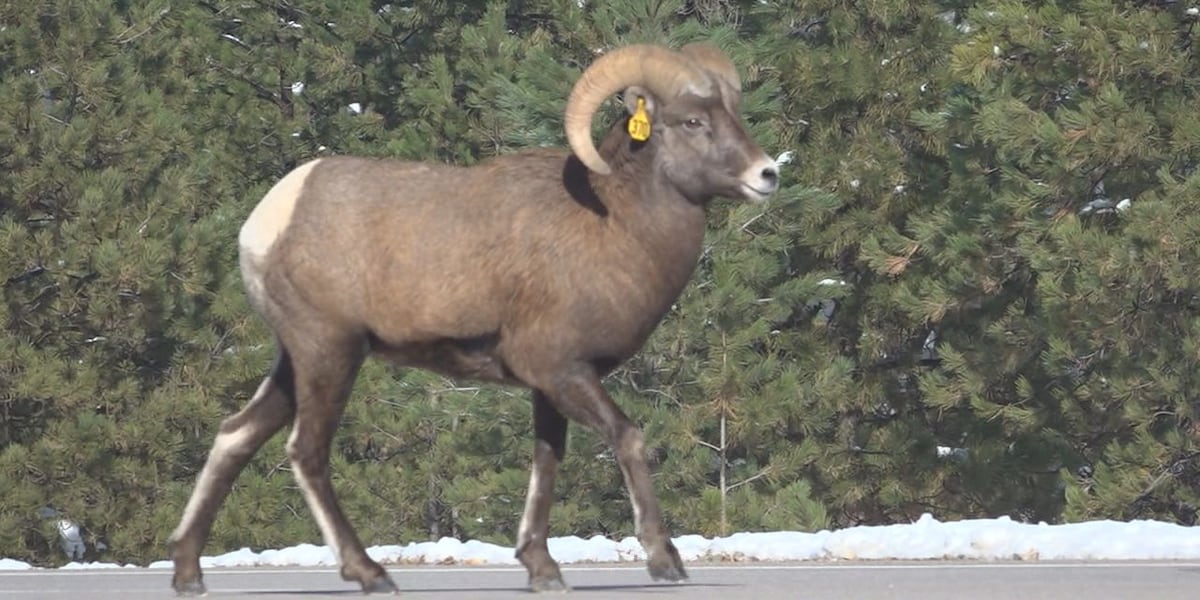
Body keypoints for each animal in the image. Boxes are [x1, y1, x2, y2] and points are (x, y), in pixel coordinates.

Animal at [169, 43, 782, 595]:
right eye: (693, 120)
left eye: (733, 113)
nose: (767, 174)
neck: (614, 225)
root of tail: (266, 222)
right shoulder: (564, 372)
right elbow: (628, 438)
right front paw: (664, 562)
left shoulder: (550, 385)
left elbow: (546, 463)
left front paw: (542, 570)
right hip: (330, 355)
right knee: (307, 452)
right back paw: (370, 574)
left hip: (294, 363)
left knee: (235, 437)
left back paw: (188, 573)